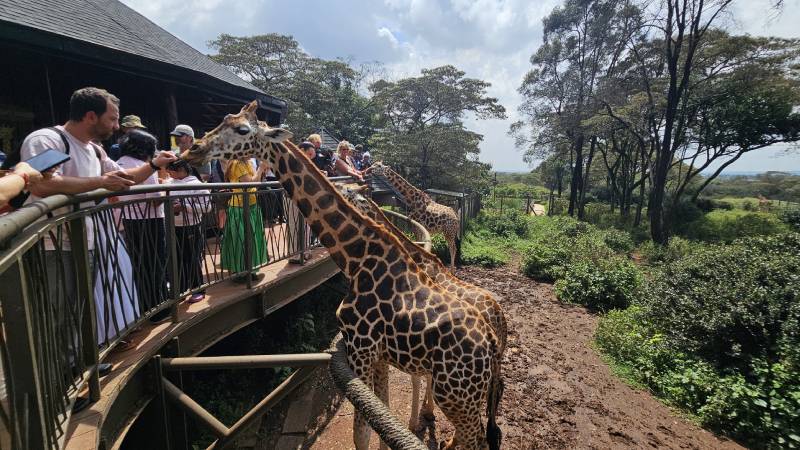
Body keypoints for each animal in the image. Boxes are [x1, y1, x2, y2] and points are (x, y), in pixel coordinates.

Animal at [334, 182, 507, 430]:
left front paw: (419, 418)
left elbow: (418, 378)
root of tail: (500, 319)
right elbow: (423, 377)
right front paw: (426, 411)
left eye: (350, 194)